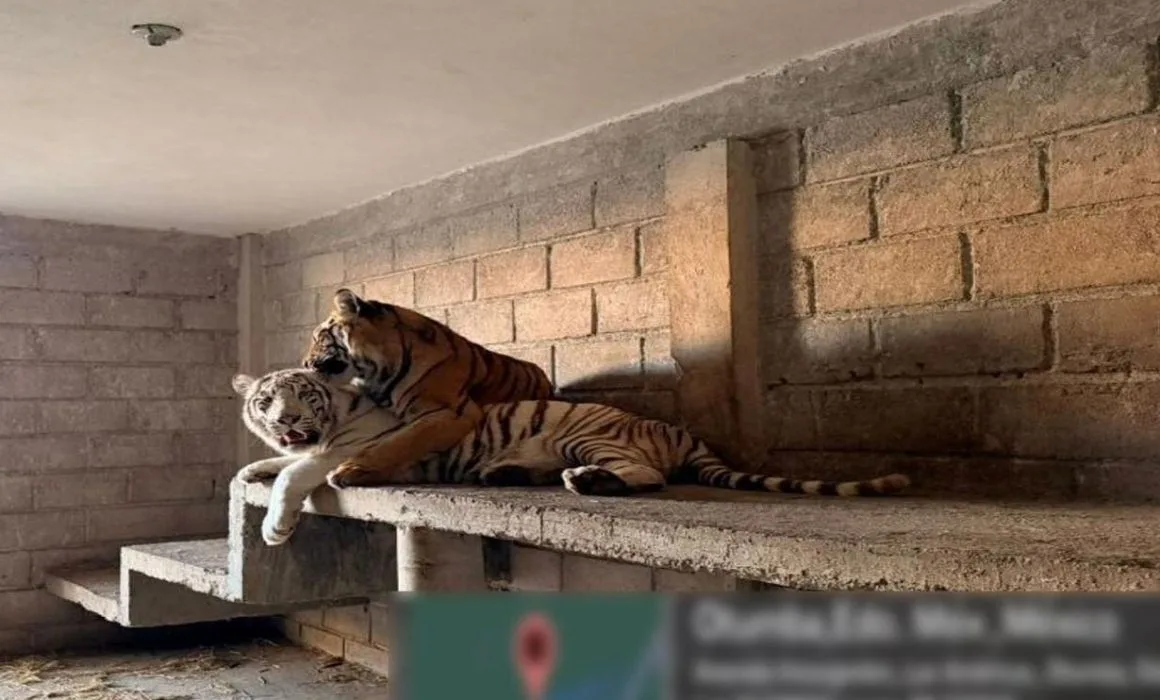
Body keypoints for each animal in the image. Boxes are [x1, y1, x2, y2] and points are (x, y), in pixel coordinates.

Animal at [232, 367, 910, 546]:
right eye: (265, 400)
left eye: (305, 395)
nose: (284, 420)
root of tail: (675, 428)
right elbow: (275, 465)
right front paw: (250, 469)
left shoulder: (355, 447)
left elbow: (298, 472)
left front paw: (273, 526)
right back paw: (506, 472)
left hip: (584, 435)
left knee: (646, 477)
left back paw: (588, 482)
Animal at [301, 288, 553, 489]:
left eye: (319, 337)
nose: (304, 363)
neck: (376, 374)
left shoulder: (451, 412)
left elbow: (398, 442)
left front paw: (349, 470)